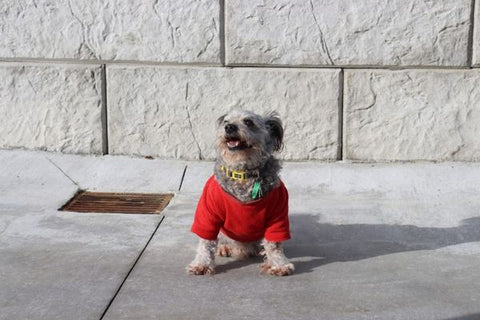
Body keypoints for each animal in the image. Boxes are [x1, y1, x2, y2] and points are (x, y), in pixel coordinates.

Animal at [187, 110, 292, 276]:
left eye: (248, 122)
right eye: (226, 121)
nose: (229, 127)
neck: (242, 173)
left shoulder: (278, 214)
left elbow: (274, 245)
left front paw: (278, 264)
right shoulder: (208, 212)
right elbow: (205, 242)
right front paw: (201, 264)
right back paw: (224, 247)